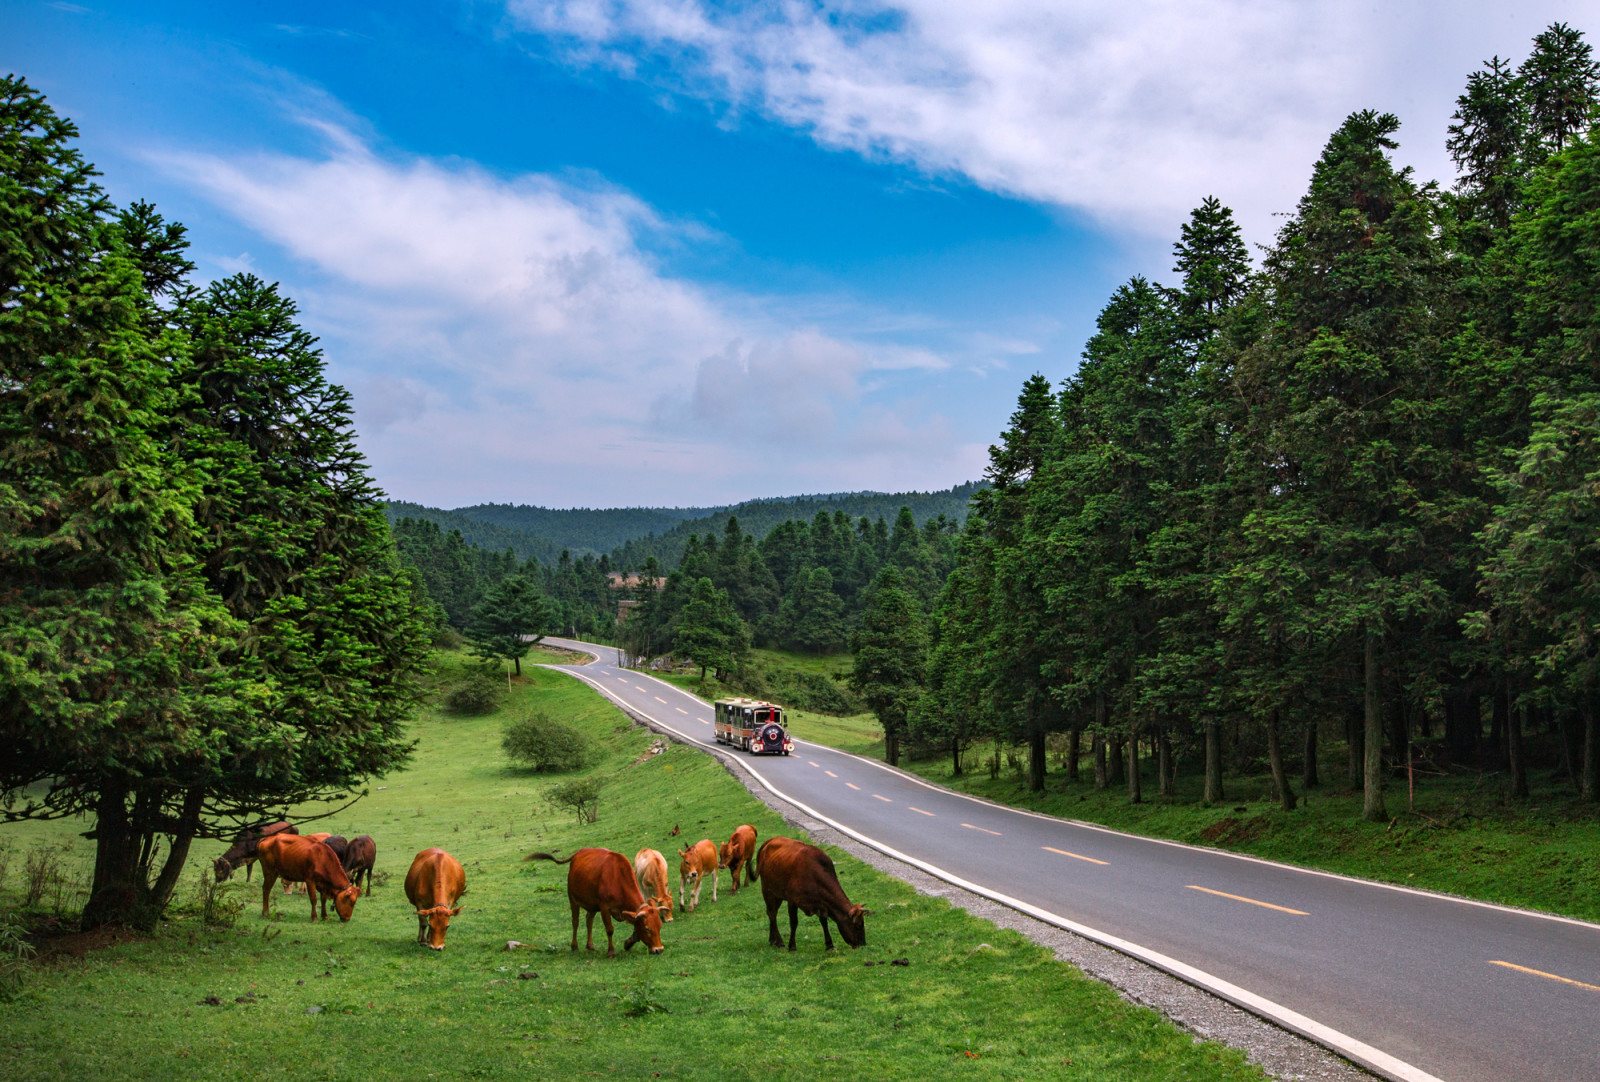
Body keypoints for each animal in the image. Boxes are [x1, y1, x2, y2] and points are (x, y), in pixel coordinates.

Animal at [524, 851, 662, 960]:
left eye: (660, 926)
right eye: (647, 929)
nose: (659, 950)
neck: (617, 877)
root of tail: (578, 853)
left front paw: (628, 943)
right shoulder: (604, 907)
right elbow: (610, 929)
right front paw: (611, 952)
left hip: (592, 904)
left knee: (589, 920)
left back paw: (590, 945)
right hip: (573, 900)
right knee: (575, 922)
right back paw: (574, 946)